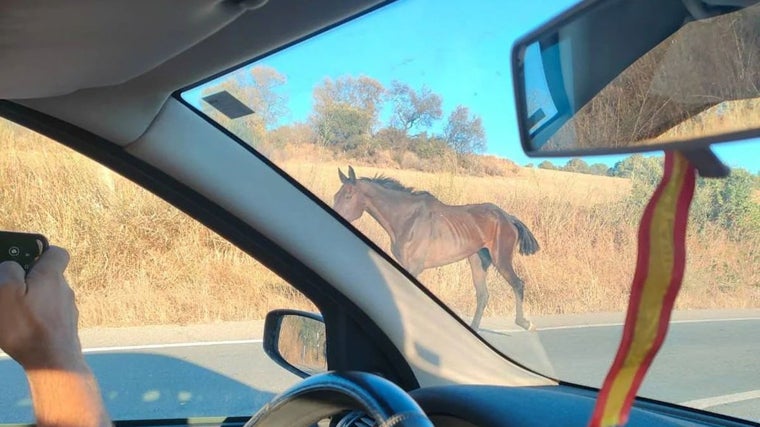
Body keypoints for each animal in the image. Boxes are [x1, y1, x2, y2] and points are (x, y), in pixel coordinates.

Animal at [332, 166, 540, 332]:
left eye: (348, 196)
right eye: (336, 196)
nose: (335, 214)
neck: (408, 220)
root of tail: (508, 217)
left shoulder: (413, 268)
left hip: (501, 259)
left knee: (517, 284)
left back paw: (525, 323)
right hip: (477, 261)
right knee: (482, 295)